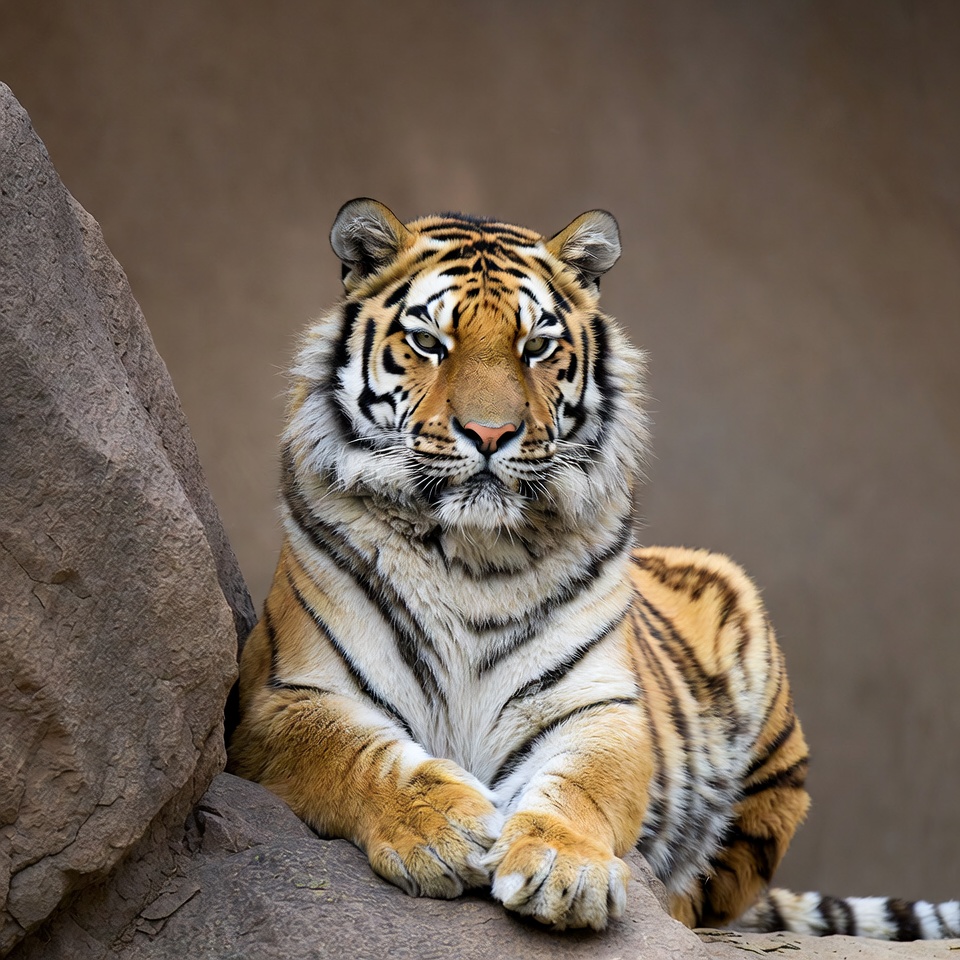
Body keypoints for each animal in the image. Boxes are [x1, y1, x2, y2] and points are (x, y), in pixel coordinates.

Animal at [228, 198, 959, 940]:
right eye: (430, 343)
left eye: (536, 347)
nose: (490, 435)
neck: (470, 552)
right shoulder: (283, 699)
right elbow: (360, 757)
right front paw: (441, 829)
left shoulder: (597, 705)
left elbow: (581, 785)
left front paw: (564, 869)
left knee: (706, 900)